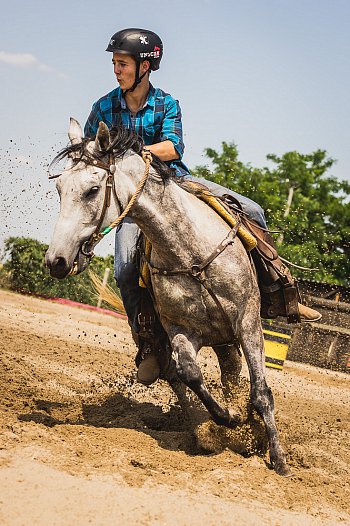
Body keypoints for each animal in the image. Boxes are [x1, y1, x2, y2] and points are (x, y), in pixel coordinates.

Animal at [47, 120, 292, 478]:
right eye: (59, 188)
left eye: (92, 190)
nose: (56, 261)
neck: (190, 255)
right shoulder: (179, 329)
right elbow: (190, 374)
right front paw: (226, 420)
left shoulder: (248, 322)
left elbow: (261, 392)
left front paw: (278, 458)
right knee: (177, 376)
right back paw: (201, 425)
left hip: (229, 336)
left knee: (232, 376)